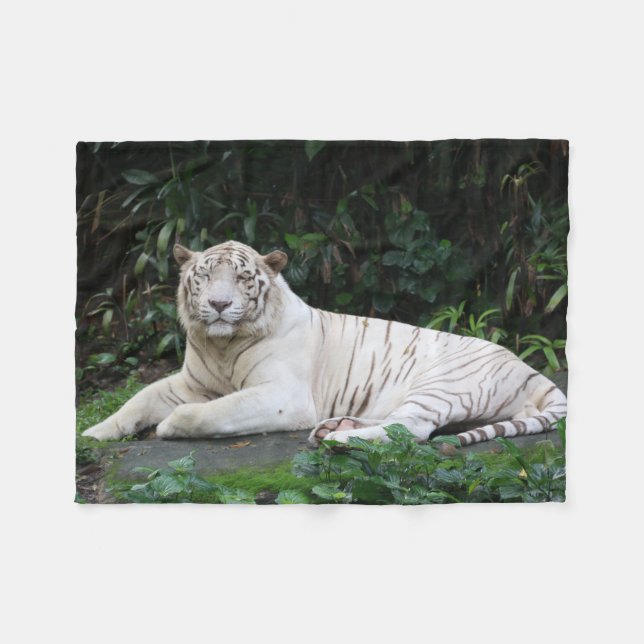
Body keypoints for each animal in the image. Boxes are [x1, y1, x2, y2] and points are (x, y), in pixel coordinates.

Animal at [82, 240, 567, 447]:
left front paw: (170, 427)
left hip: (441, 383)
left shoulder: (283, 397)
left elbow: (209, 412)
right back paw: (336, 427)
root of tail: (534, 372)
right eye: (203, 276)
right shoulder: (190, 383)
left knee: (410, 430)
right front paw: (93, 433)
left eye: (241, 278)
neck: (222, 344)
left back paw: (336, 439)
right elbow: (137, 400)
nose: (219, 304)